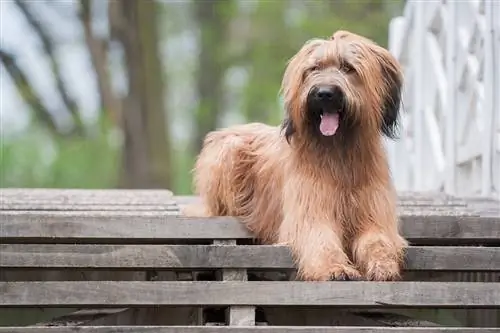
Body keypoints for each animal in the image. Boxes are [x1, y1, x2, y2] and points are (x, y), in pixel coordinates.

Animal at [189, 30, 408, 280]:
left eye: (348, 67)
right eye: (313, 69)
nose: (324, 93)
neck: (339, 151)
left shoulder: (375, 214)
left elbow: (378, 240)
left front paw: (383, 265)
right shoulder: (309, 209)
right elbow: (320, 237)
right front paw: (335, 268)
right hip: (229, 152)